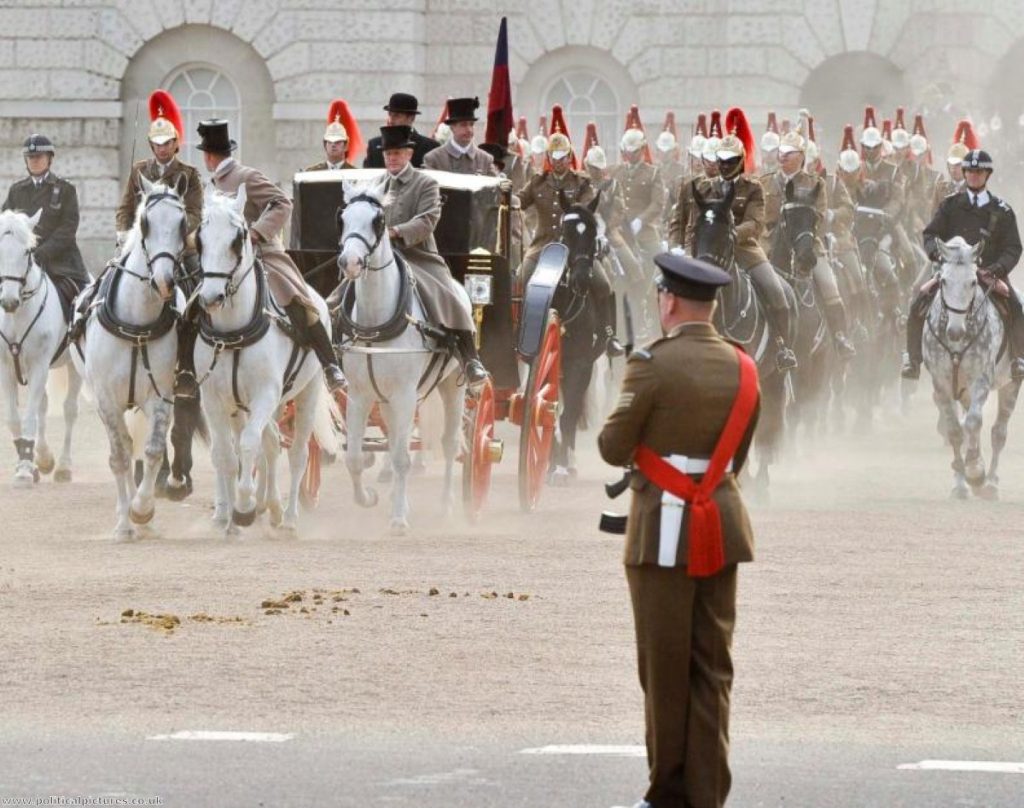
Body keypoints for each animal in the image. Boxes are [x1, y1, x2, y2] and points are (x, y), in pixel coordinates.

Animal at [0, 209, 83, 485]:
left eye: (27, 252)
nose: (9, 301)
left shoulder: (39, 365)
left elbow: (28, 417)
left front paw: (25, 469)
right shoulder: (7, 368)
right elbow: (15, 418)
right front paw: (29, 462)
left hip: (74, 367)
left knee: (69, 410)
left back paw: (64, 466)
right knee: (43, 407)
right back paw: (44, 458)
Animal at [72, 177, 186, 540]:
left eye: (183, 223)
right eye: (145, 222)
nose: (164, 281)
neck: (137, 323)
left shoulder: (161, 396)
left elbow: (152, 451)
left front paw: (143, 511)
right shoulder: (107, 399)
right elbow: (121, 457)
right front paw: (125, 521)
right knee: (119, 448)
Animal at [195, 186, 327, 532]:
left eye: (237, 238)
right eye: (199, 238)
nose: (210, 297)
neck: (233, 331)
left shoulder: (265, 393)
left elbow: (248, 444)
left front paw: (244, 507)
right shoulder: (213, 398)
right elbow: (227, 455)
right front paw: (231, 516)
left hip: (306, 392)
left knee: (296, 453)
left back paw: (289, 517)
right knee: (272, 442)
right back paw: (272, 506)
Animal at [333, 179, 466, 532]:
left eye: (378, 220)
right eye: (343, 218)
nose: (349, 263)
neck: (375, 321)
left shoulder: (405, 394)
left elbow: (402, 457)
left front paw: (398, 519)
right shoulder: (360, 395)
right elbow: (354, 457)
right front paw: (367, 498)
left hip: (452, 386)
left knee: (449, 444)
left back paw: (447, 504)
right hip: (387, 398)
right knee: (394, 440)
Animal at [925, 234, 1019, 497]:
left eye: (973, 282)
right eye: (944, 281)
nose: (955, 332)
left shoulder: (981, 380)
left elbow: (974, 422)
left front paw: (975, 471)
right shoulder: (941, 384)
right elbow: (955, 430)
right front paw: (960, 483)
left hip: (1011, 384)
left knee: (998, 432)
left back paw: (990, 483)